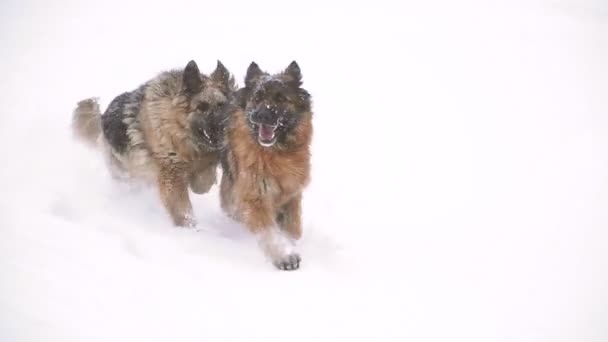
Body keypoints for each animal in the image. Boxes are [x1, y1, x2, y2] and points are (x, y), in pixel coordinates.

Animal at [72, 60, 236, 227]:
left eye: (221, 105)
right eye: (202, 107)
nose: (223, 126)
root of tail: (103, 117)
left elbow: (204, 180)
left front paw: (199, 183)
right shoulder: (171, 175)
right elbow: (182, 208)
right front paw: (188, 227)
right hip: (127, 173)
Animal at [218, 61, 314, 270]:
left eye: (281, 98)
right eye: (257, 98)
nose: (261, 115)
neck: (276, 154)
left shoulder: (292, 194)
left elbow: (293, 229)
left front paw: (290, 243)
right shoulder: (255, 195)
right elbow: (268, 232)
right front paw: (285, 255)